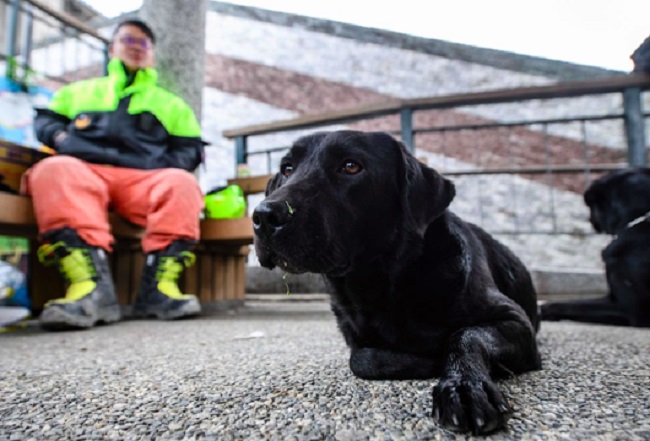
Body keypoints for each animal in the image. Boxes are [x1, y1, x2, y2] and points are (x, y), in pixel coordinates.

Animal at [251, 130, 540, 434]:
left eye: (351, 166)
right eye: (287, 168)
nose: (264, 216)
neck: (387, 286)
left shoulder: (516, 320)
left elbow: (466, 334)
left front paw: (464, 386)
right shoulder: (356, 339)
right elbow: (361, 359)